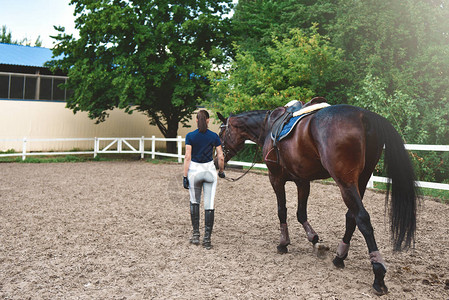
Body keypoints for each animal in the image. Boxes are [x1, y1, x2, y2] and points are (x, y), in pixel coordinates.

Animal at [215, 101, 418, 296]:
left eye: (221, 133)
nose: (217, 161)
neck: (269, 126)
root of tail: (363, 115)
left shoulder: (276, 178)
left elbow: (282, 211)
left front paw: (283, 243)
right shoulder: (302, 181)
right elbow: (301, 213)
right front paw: (314, 240)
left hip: (345, 182)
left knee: (362, 218)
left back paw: (378, 275)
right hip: (361, 180)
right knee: (351, 217)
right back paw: (339, 257)